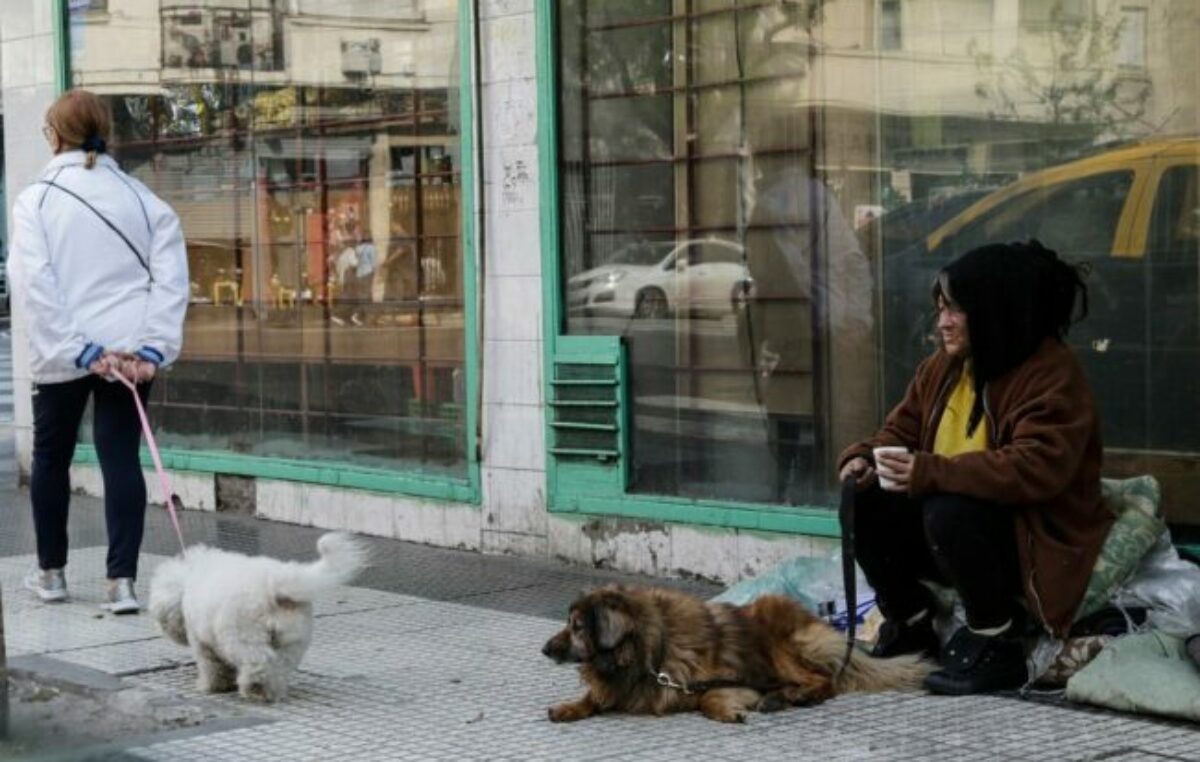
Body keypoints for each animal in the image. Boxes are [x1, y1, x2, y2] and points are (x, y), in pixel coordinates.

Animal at [148, 530, 364, 705]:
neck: (189, 577)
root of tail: (274, 582)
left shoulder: (202, 642)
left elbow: (212, 666)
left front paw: (211, 685)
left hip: (245, 636)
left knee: (258, 664)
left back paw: (256, 690)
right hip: (292, 640)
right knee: (279, 666)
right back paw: (274, 690)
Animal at [542, 588, 926, 724]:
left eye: (577, 626)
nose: (544, 649)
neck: (648, 651)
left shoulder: (723, 679)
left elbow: (707, 698)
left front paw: (728, 710)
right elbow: (593, 697)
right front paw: (569, 707)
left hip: (778, 640)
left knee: (824, 679)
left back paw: (796, 696)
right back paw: (779, 697)